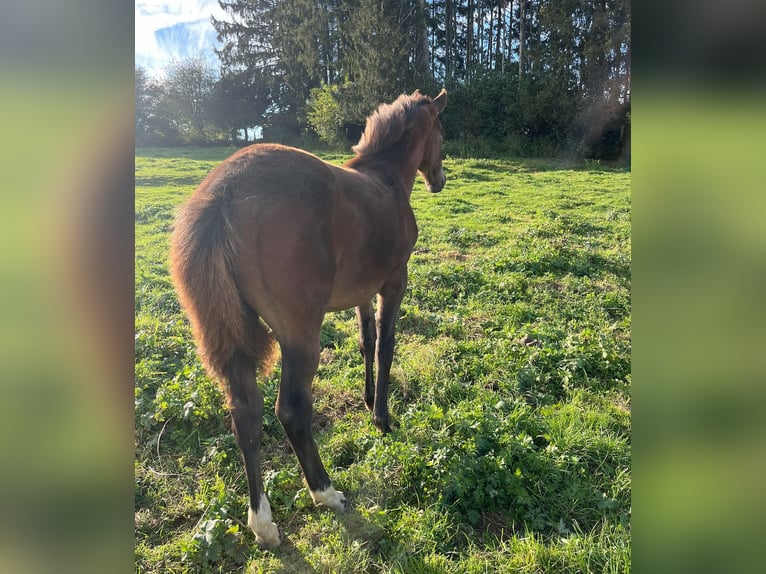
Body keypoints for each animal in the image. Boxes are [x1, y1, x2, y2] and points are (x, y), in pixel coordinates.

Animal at [168, 89, 444, 548]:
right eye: (441, 132)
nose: (439, 180)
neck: (384, 179)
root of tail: (222, 194)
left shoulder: (360, 292)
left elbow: (365, 342)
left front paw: (367, 399)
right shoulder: (393, 283)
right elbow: (385, 346)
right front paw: (382, 418)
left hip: (228, 338)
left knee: (245, 414)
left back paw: (262, 523)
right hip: (299, 335)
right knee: (292, 410)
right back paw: (325, 492)